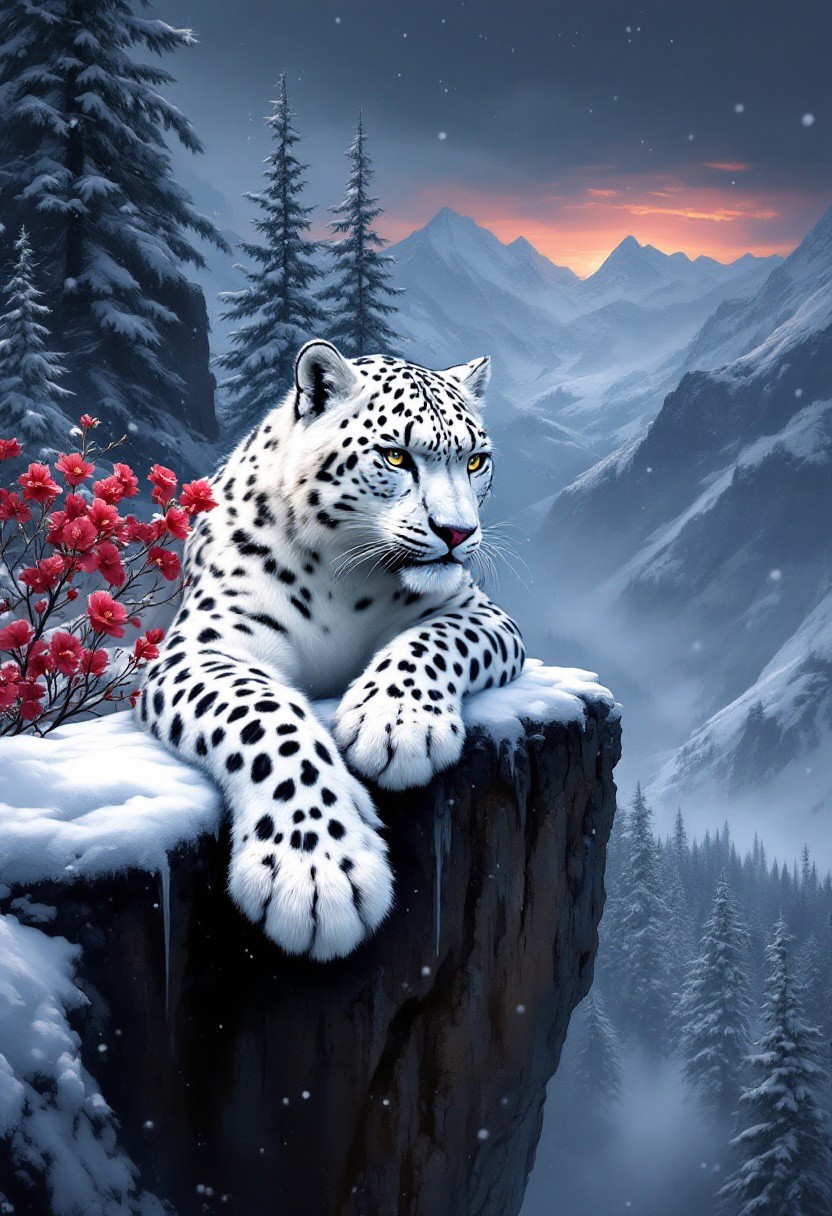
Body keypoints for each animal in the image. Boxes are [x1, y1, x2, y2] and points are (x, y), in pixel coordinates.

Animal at [137, 340, 525, 961]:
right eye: (395, 456)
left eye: (475, 461)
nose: (458, 533)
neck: (342, 574)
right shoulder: (203, 647)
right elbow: (265, 718)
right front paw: (317, 871)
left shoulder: (478, 611)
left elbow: (433, 641)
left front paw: (396, 722)